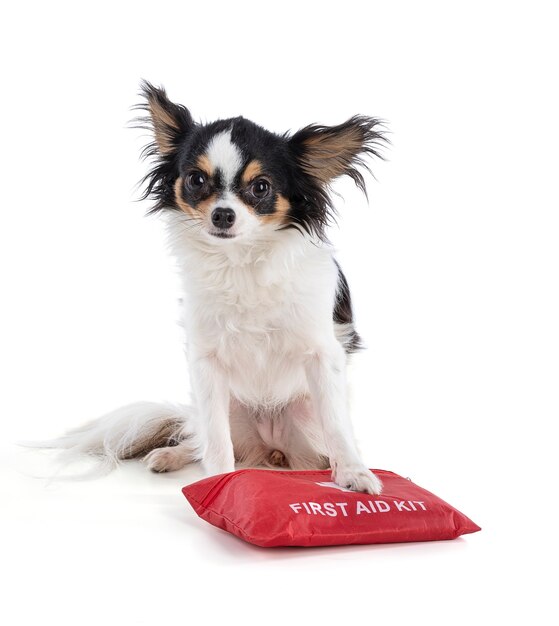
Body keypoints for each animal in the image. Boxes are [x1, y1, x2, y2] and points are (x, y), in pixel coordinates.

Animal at [43, 83, 388, 492]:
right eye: (196, 180)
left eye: (261, 187)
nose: (223, 214)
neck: (241, 262)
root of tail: (270, 449)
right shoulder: (206, 364)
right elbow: (216, 440)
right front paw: (219, 482)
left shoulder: (322, 354)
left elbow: (337, 428)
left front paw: (354, 473)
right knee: (201, 439)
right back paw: (171, 455)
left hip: (305, 427)